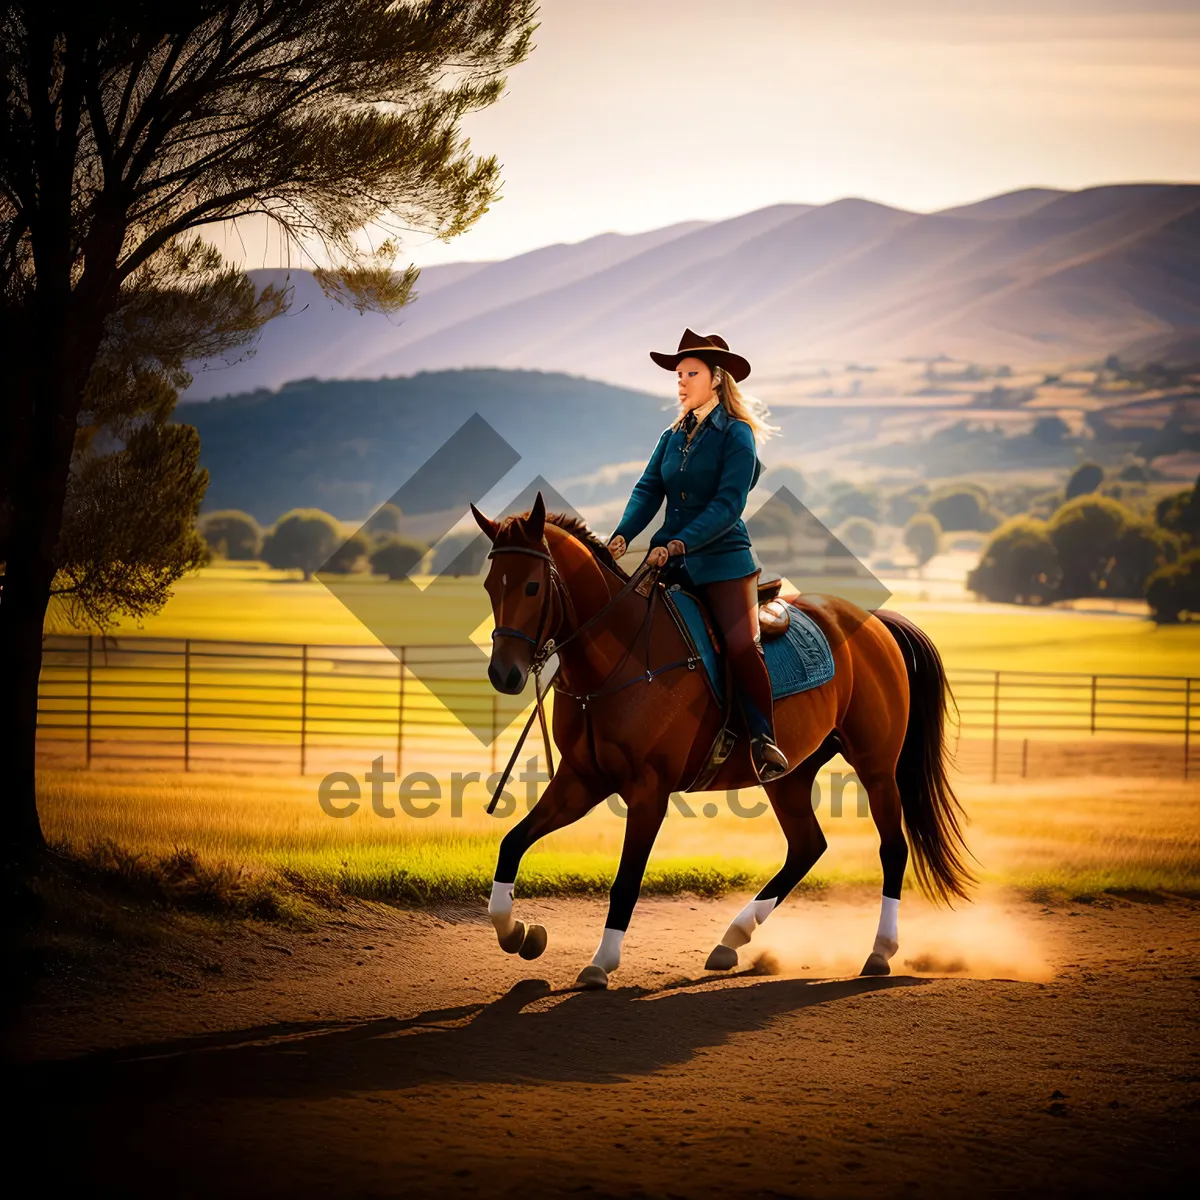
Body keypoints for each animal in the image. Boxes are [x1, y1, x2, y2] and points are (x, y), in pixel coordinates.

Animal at [468, 487, 974, 984]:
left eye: (533, 586)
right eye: (491, 585)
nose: (503, 674)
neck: (620, 657)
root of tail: (872, 620)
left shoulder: (648, 791)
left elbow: (626, 880)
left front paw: (601, 961)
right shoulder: (581, 781)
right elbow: (512, 843)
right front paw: (519, 933)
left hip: (876, 767)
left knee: (892, 848)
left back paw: (880, 951)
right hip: (789, 775)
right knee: (808, 846)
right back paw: (733, 938)